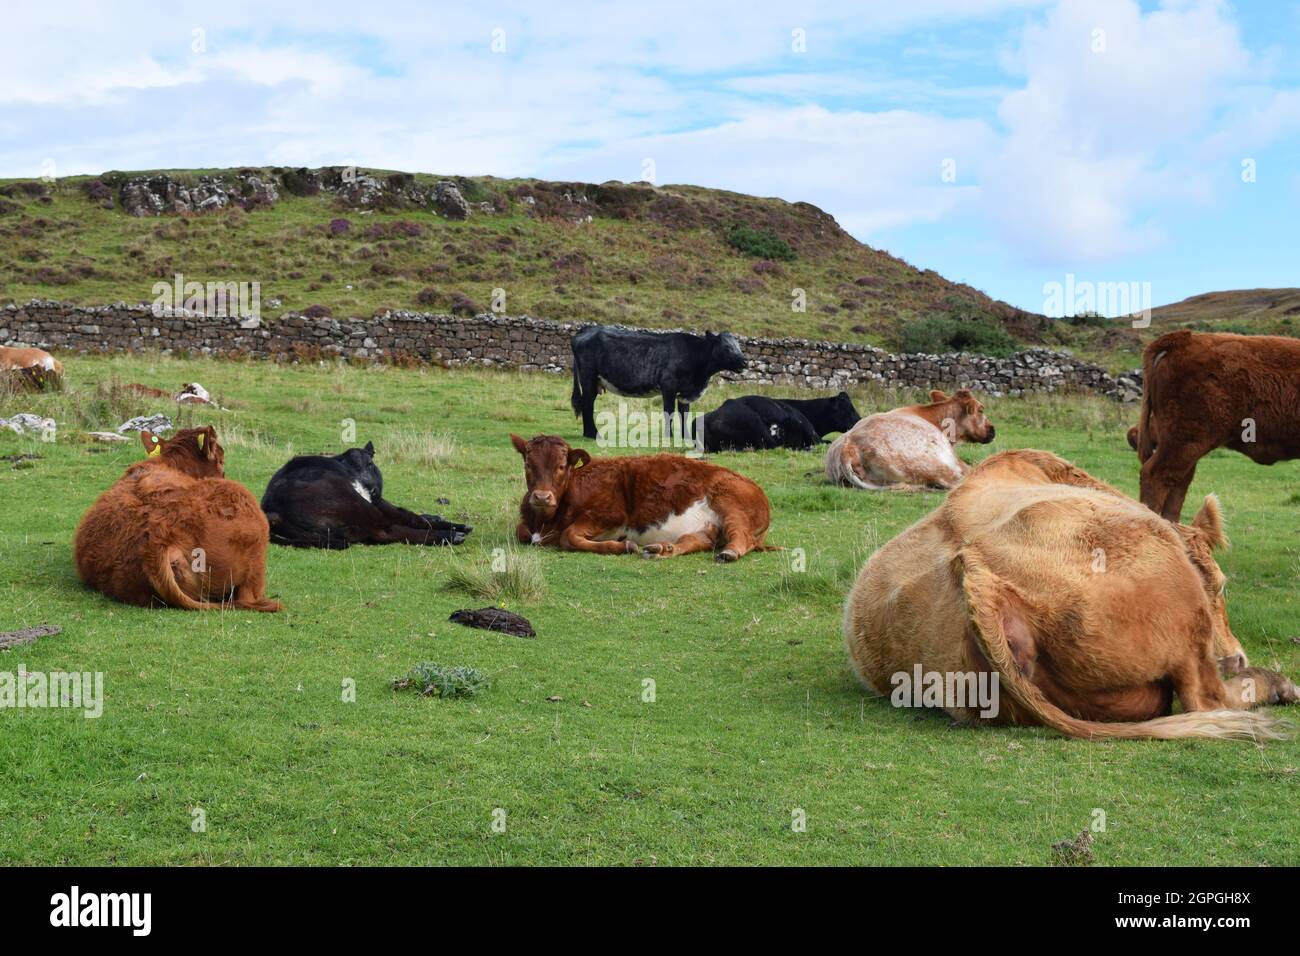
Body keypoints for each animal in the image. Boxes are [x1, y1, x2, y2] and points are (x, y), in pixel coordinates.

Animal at [260, 442, 471, 548]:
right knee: (387, 531)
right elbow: (410, 517)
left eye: (370, 463)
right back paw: (449, 536)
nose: (371, 487)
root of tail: (272, 511)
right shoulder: (378, 502)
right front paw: (456, 527)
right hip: (355, 505)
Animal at [511, 433, 773, 560]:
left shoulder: (610, 516)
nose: (542, 497)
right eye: (528, 464)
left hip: (731, 504)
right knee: (696, 540)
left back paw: (730, 552)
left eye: (562, 466)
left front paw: (623, 545)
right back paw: (663, 549)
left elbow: (569, 536)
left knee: (741, 537)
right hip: (708, 529)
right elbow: (521, 531)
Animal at [570, 325, 746, 440]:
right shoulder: (668, 387)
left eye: (738, 346)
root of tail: (589, 329)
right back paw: (593, 434)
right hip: (588, 377)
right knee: (587, 404)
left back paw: (588, 433)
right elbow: (669, 412)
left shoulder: (685, 392)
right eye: (726, 347)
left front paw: (686, 437)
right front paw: (669, 436)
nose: (745, 361)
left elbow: (684, 413)